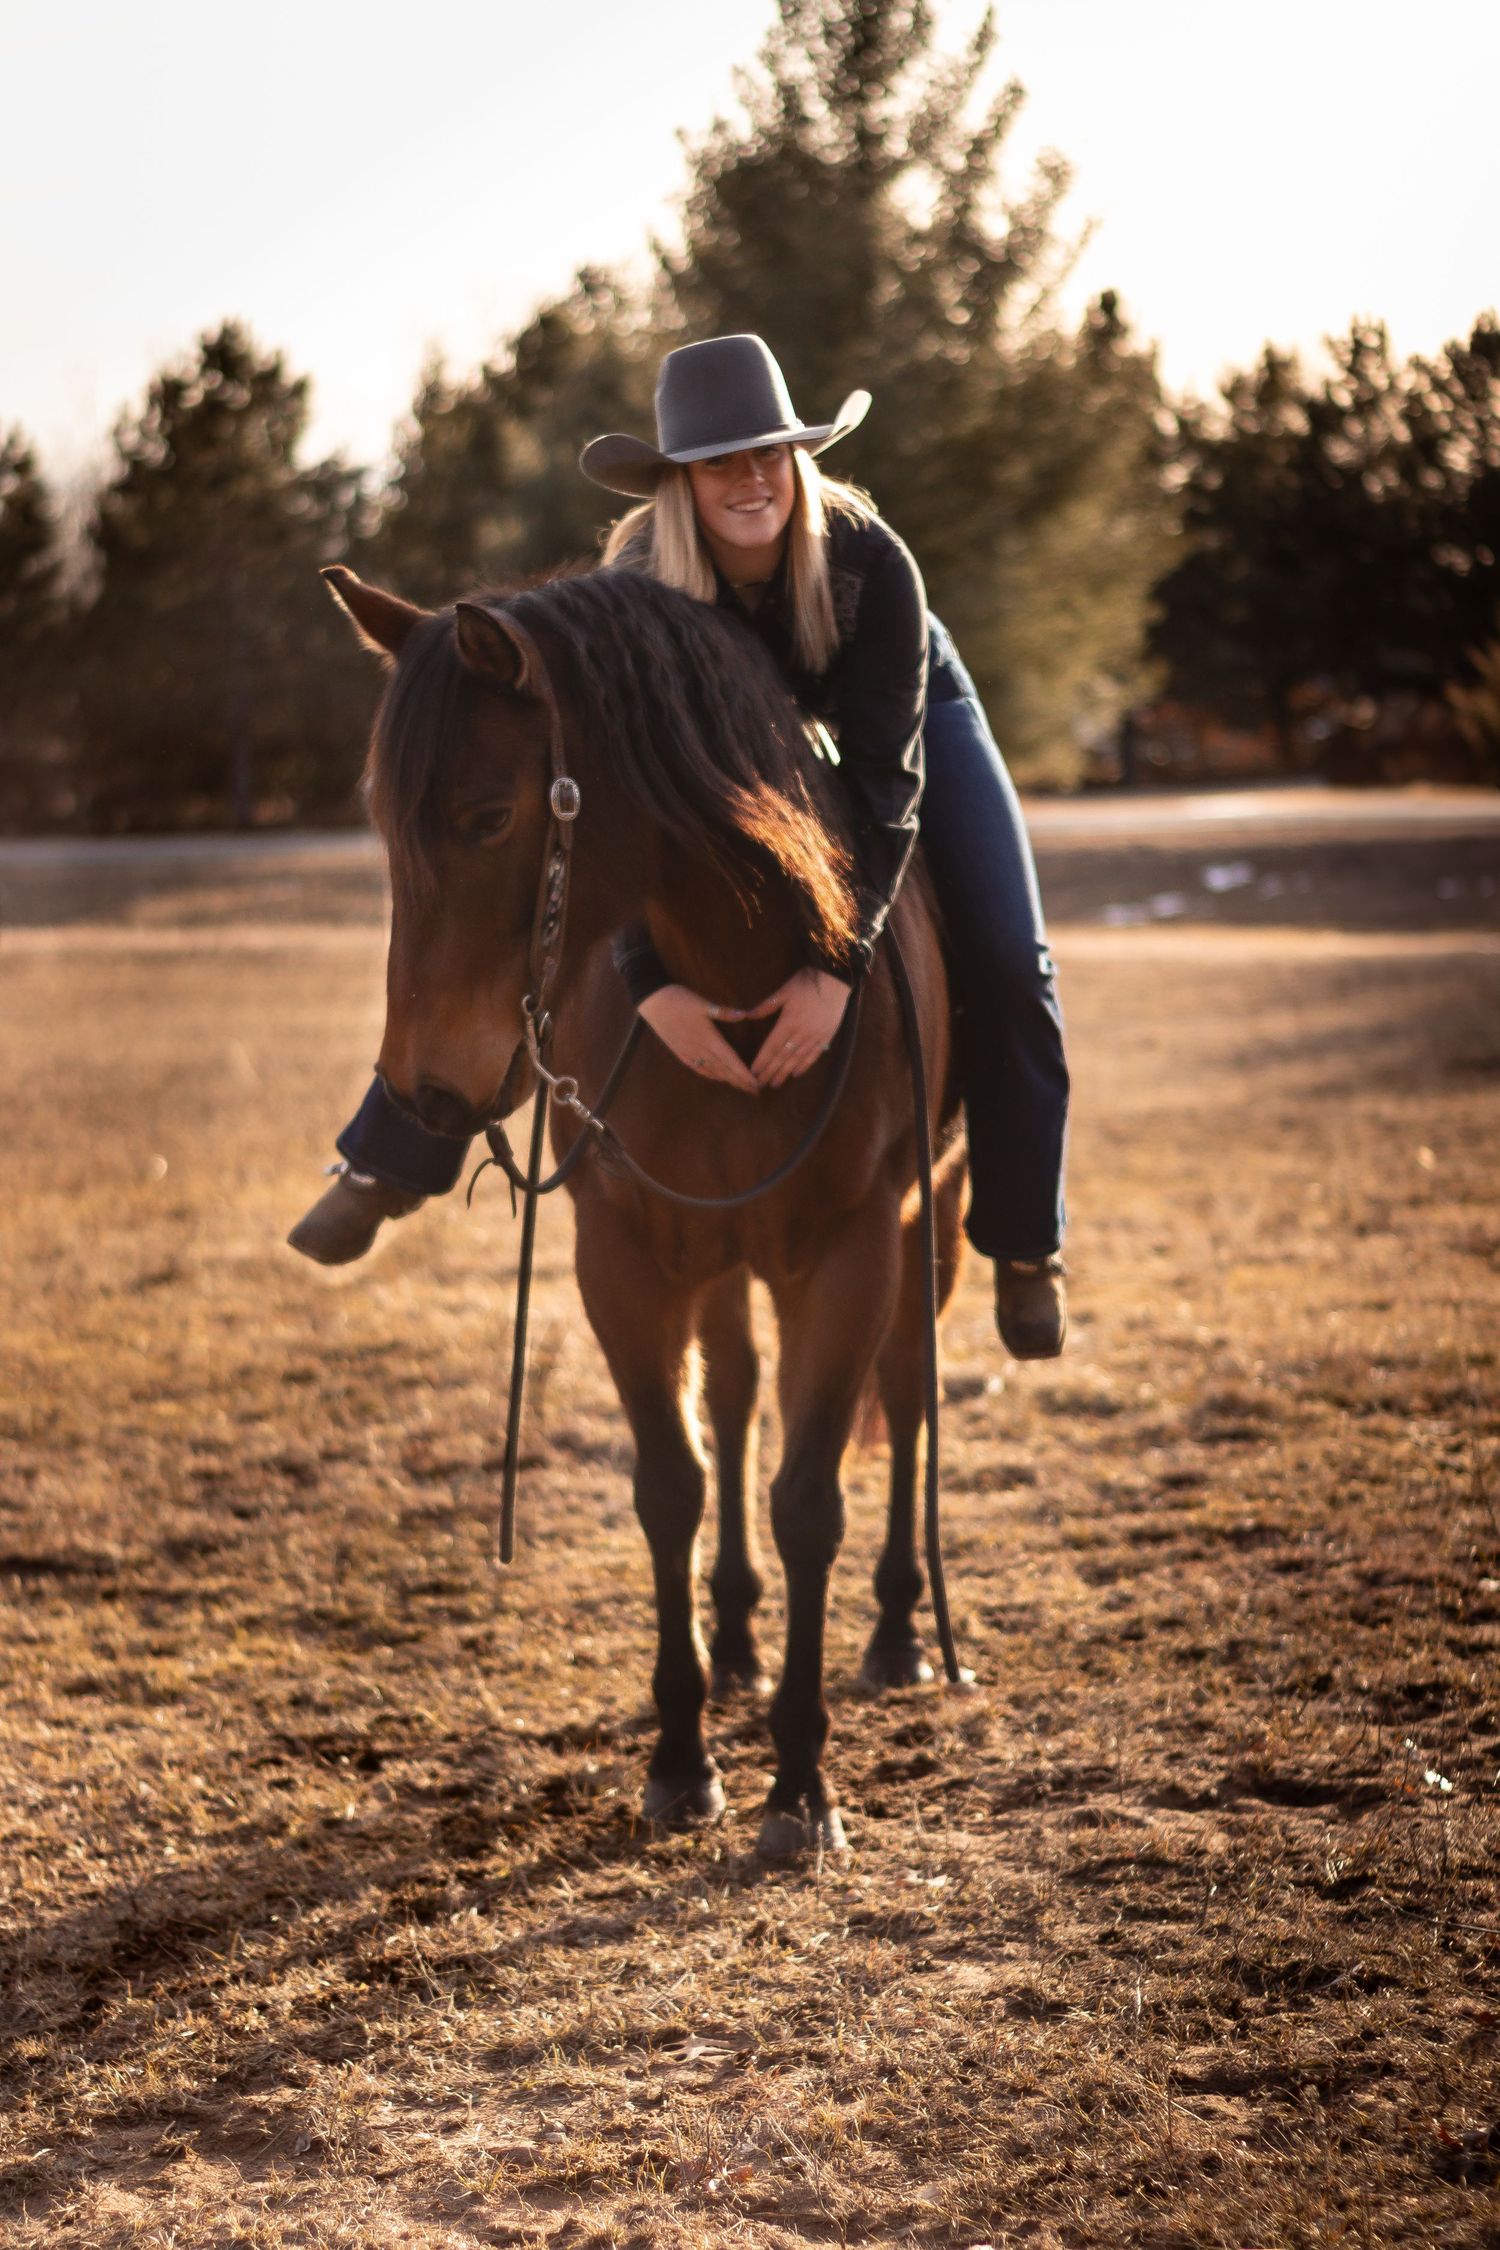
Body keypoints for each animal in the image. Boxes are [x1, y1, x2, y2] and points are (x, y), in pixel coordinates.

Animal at [322, 559, 968, 1857]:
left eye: (488, 818)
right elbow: (673, 1485)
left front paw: (801, 1783)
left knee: (906, 1395)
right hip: (716, 1257)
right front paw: (682, 1757)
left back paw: (894, 1634)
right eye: (381, 822)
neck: (738, 975)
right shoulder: (625, 1260)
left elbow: (809, 1499)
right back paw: (736, 1642)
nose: (425, 1088)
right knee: (734, 1401)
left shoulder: (851, 1256)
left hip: (920, 1229)